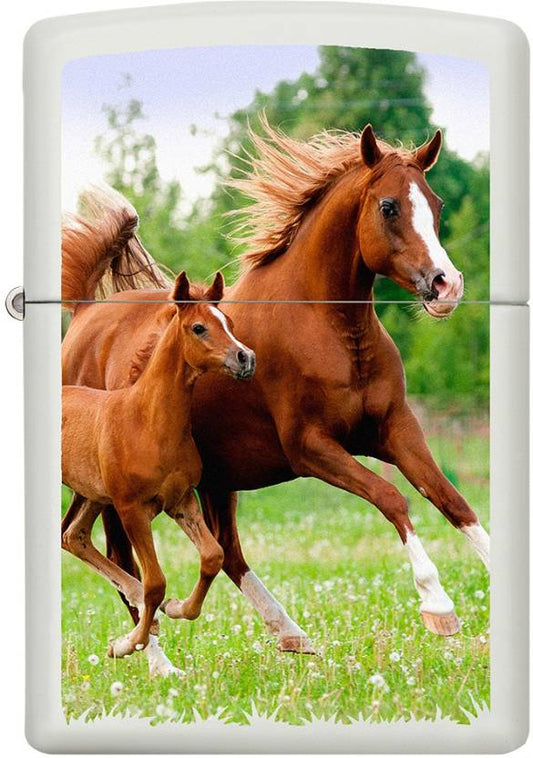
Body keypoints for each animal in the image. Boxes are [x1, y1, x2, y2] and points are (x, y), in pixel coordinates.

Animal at [61, 270, 255, 676]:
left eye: (229, 322)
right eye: (199, 327)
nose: (245, 357)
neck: (146, 420)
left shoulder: (180, 501)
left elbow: (212, 557)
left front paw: (178, 609)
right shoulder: (131, 509)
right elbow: (155, 582)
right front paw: (127, 644)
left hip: (91, 494)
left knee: (73, 536)